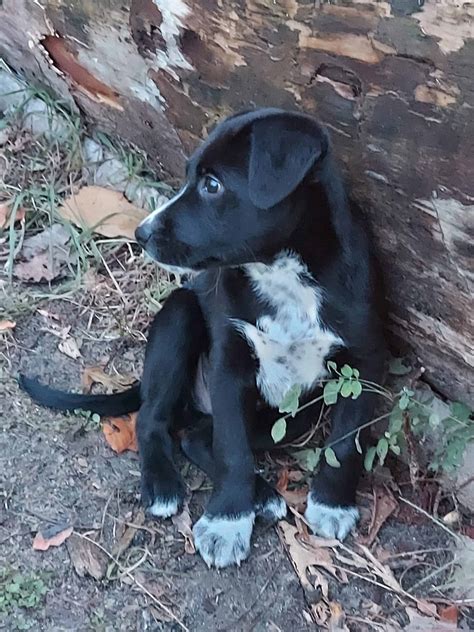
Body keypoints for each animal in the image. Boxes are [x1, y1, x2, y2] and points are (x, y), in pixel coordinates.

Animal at [20, 107, 386, 568]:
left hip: (291, 417)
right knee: (153, 418)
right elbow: (232, 451)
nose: (141, 233)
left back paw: (262, 496)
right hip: (179, 319)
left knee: (196, 437)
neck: (284, 275)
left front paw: (332, 504)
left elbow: (345, 443)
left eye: (212, 185)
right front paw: (227, 521)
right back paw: (168, 485)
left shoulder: (363, 364)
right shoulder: (229, 362)